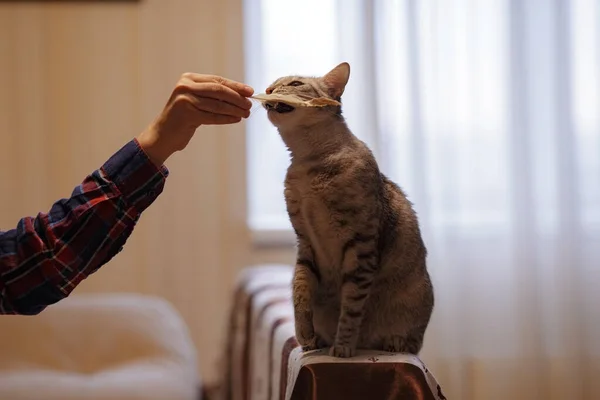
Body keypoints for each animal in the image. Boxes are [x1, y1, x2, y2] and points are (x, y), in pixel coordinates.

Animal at [260, 63, 434, 360]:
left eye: (294, 83)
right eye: (272, 83)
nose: (269, 90)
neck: (307, 164)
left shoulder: (360, 246)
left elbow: (351, 307)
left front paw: (342, 347)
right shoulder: (304, 243)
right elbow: (300, 292)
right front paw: (305, 336)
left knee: (411, 342)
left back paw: (393, 343)